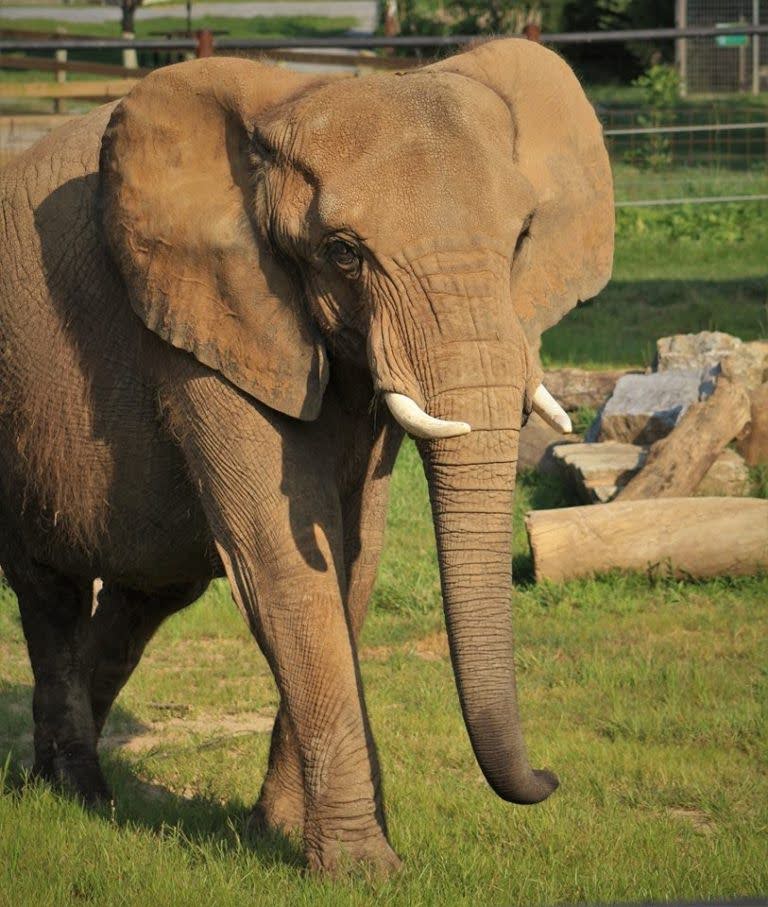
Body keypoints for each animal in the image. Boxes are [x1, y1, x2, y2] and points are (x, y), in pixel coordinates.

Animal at [0, 39, 612, 876]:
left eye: (521, 238)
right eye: (342, 253)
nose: (550, 777)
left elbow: (355, 557)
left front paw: (276, 832)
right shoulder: (210, 316)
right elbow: (286, 564)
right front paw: (363, 869)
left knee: (146, 596)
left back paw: (49, 784)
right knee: (50, 592)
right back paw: (80, 793)